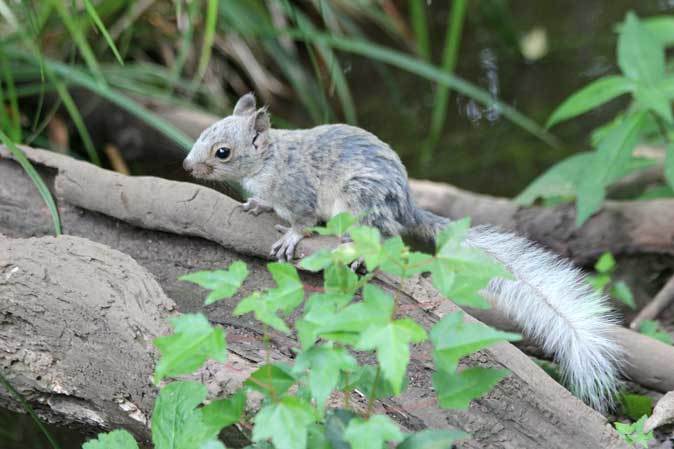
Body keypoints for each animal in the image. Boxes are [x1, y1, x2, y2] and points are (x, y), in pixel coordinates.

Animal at [182, 93, 620, 412]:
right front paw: (255, 205)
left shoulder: (299, 194)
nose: (186, 166)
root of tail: (407, 205)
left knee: (385, 235)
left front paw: (290, 236)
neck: (269, 161)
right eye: (202, 132)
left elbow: (301, 221)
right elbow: (264, 204)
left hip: (359, 200)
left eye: (222, 152)